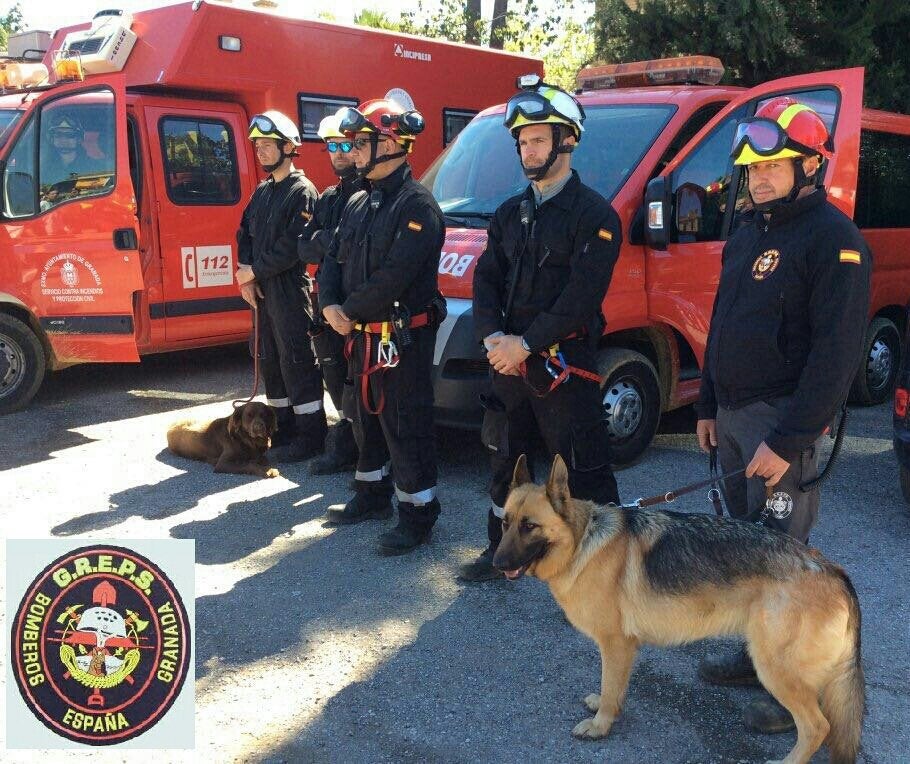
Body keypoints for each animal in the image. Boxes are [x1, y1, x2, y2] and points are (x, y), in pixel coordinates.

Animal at [496, 456, 864, 760]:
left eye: (529, 526)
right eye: (505, 522)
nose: (496, 563)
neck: (582, 541)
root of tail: (833, 571)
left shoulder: (616, 645)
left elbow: (610, 685)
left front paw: (601, 725)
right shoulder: (621, 650)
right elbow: (611, 688)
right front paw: (604, 706)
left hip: (774, 667)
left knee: (818, 727)